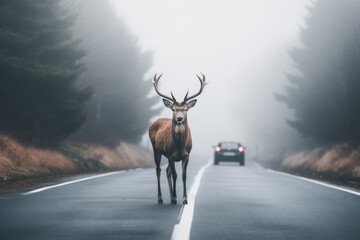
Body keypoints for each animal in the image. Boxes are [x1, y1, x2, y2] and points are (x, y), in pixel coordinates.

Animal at [148, 73, 207, 204]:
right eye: (174, 109)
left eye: (185, 109)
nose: (179, 119)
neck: (179, 146)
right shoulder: (170, 155)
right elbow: (175, 175)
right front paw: (175, 198)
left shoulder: (186, 155)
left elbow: (183, 175)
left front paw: (184, 199)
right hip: (156, 149)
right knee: (158, 170)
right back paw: (160, 198)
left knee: (167, 171)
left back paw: (170, 197)